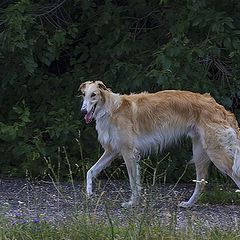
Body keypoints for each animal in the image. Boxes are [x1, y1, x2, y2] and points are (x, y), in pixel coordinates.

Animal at [78, 80, 240, 208]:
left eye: (94, 95)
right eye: (84, 94)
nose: (83, 111)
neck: (111, 109)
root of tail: (221, 109)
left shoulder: (128, 152)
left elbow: (133, 181)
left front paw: (131, 203)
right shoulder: (112, 151)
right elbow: (90, 171)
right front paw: (89, 192)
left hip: (217, 153)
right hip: (200, 153)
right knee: (201, 183)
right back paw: (188, 204)